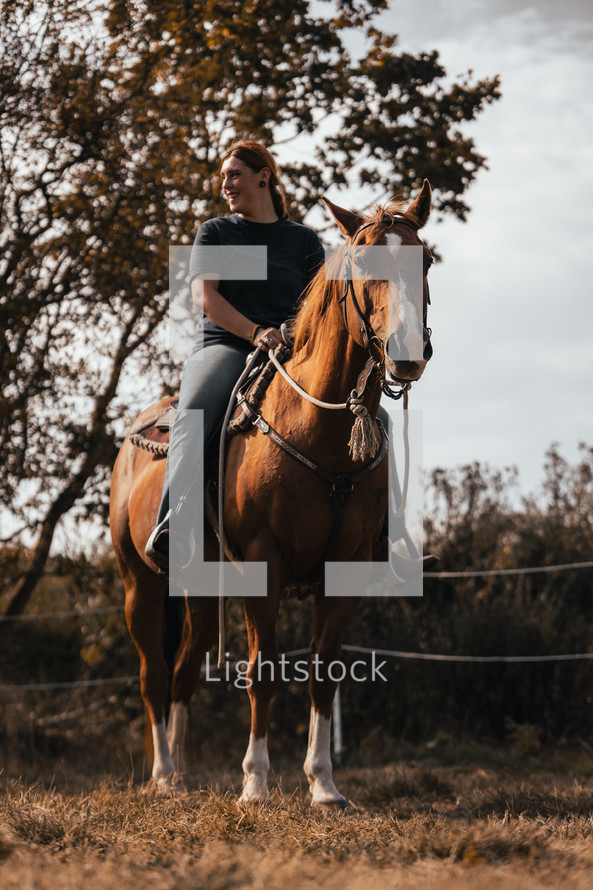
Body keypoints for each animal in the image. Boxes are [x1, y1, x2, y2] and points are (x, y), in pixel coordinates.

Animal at [108, 179, 432, 796]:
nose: (407, 352)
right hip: (140, 584)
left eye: (424, 261)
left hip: (199, 590)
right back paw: (163, 775)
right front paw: (255, 783)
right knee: (154, 675)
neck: (319, 429)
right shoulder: (265, 563)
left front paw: (323, 784)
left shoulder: (347, 566)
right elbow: (263, 671)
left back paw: (181, 772)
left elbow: (325, 670)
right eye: (363, 264)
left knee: (184, 671)